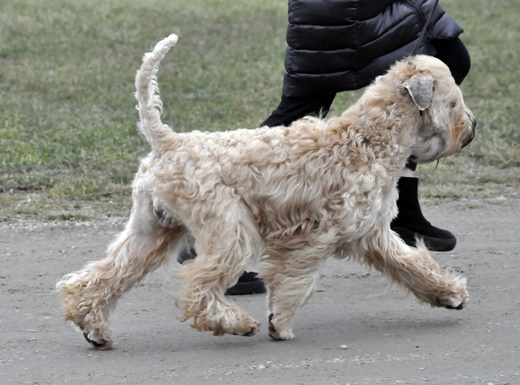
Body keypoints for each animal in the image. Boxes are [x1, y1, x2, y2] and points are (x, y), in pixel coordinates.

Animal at [55, 35, 476, 348]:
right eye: (454, 101)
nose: (472, 127)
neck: (369, 139)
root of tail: (167, 141)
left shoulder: (372, 233)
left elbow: (411, 265)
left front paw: (449, 295)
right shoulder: (318, 236)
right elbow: (296, 282)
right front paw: (280, 323)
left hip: (152, 231)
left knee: (100, 277)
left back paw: (94, 329)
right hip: (230, 232)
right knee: (197, 286)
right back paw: (236, 323)